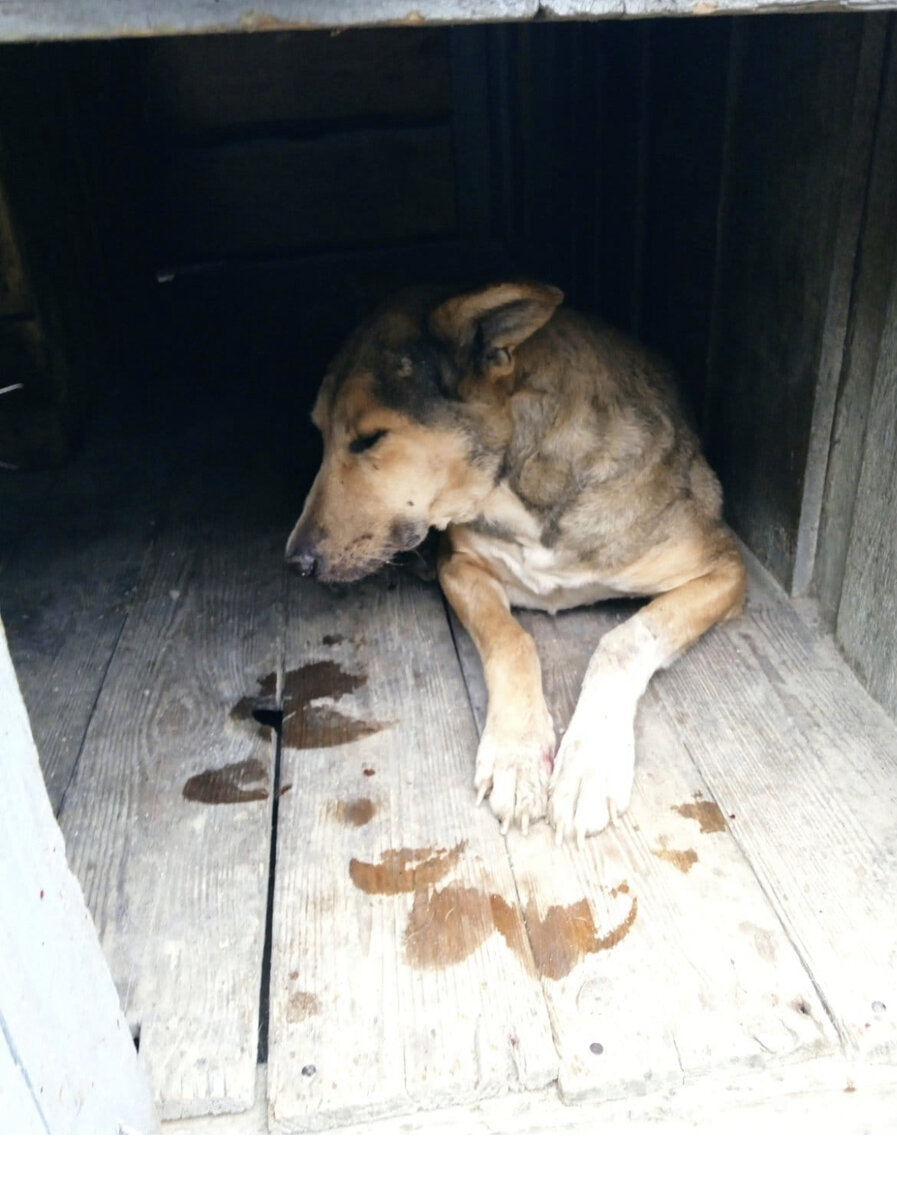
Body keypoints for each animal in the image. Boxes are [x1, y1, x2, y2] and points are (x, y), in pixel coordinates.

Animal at [284, 280, 748, 844]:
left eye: (371, 438)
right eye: (319, 433)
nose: (296, 563)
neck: (526, 481)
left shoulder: (725, 567)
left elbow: (623, 641)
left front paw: (588, 766)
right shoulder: (461, 566)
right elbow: (511, 640)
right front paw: (518, 756)